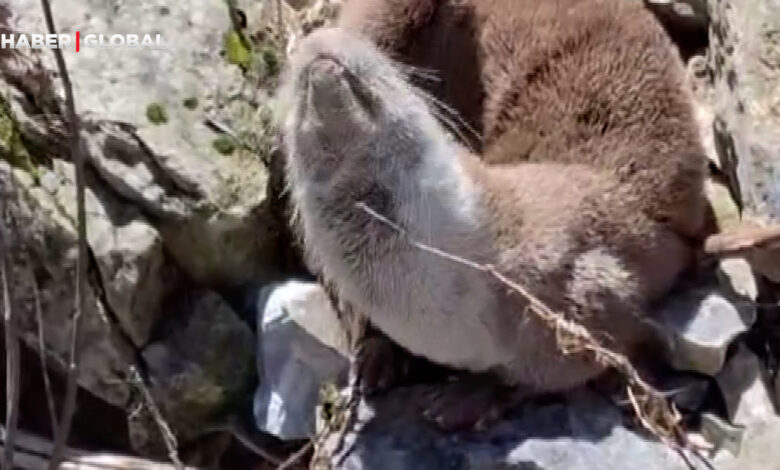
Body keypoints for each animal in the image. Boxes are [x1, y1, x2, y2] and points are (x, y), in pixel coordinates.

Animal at [278, 18, 700, 424]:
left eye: (384, 64)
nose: (319, 41)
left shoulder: (583, 283)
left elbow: (570, 361)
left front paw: (470, 397)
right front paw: (379, 355)